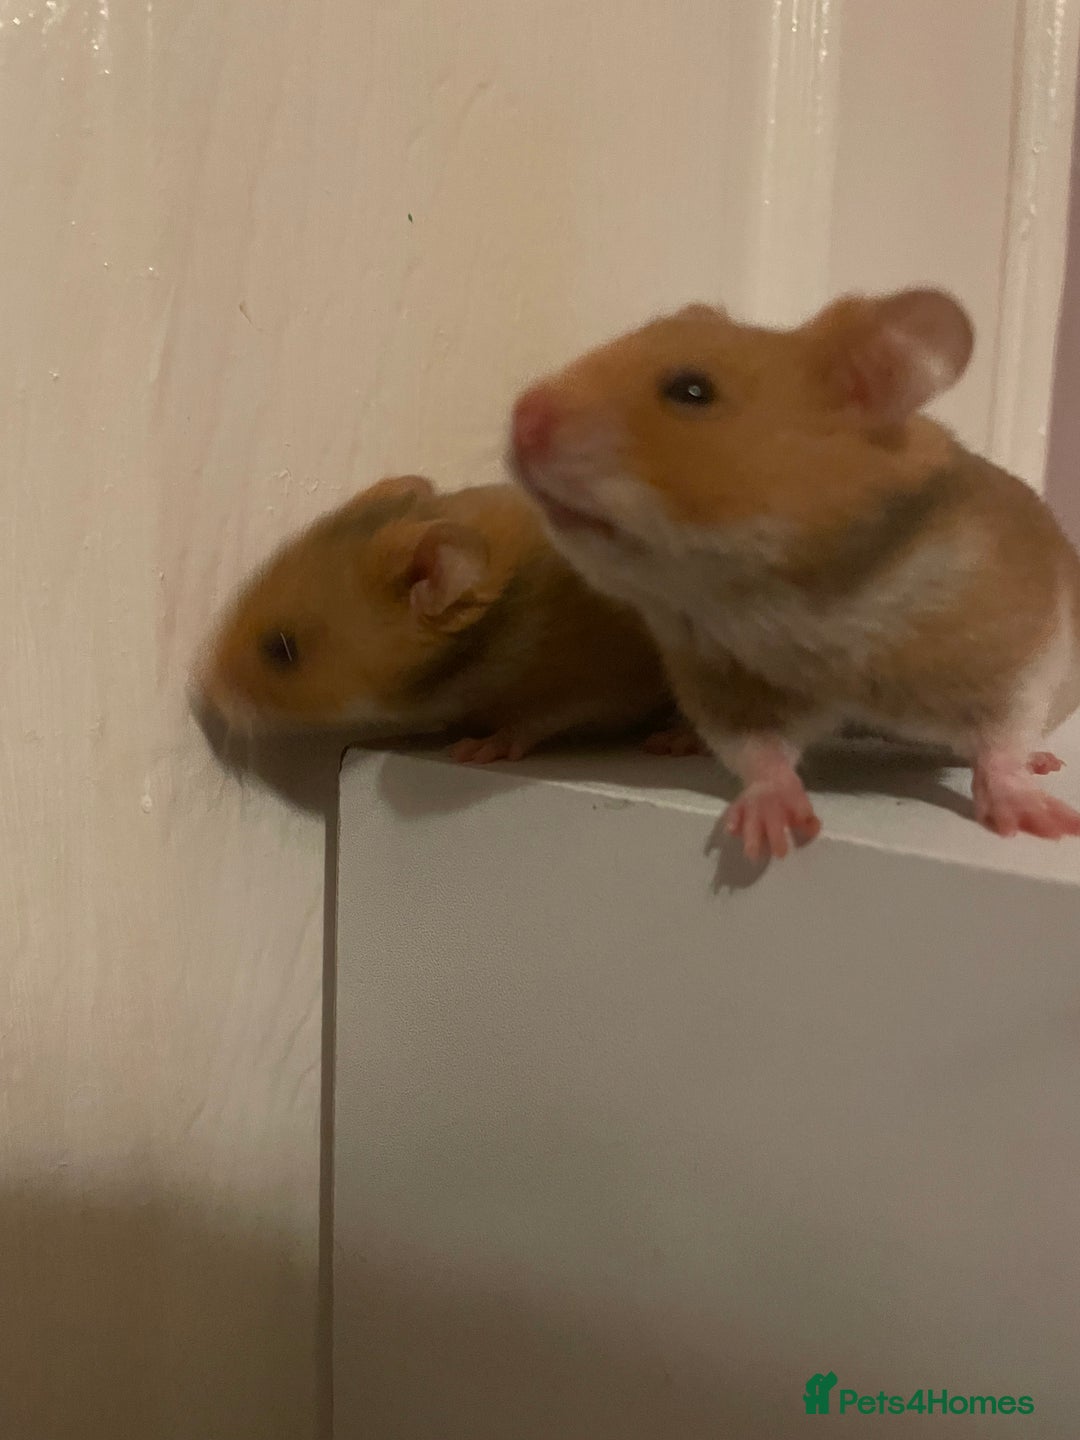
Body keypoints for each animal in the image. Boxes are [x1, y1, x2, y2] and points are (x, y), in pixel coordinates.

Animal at [197, 473, 672, 761]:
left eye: (281, 649)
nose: (205, 693)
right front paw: (395, 737)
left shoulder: (599, 685)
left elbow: (532, 722)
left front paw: (475, 750)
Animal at [508, 288, 1080, 857]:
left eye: (691, 390)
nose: (519, 418)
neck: (791, 602)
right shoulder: (726, 687)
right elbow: (759, 756)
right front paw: (770, 833)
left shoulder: (1017, 641)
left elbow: (1005, 733)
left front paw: (1043, 823)